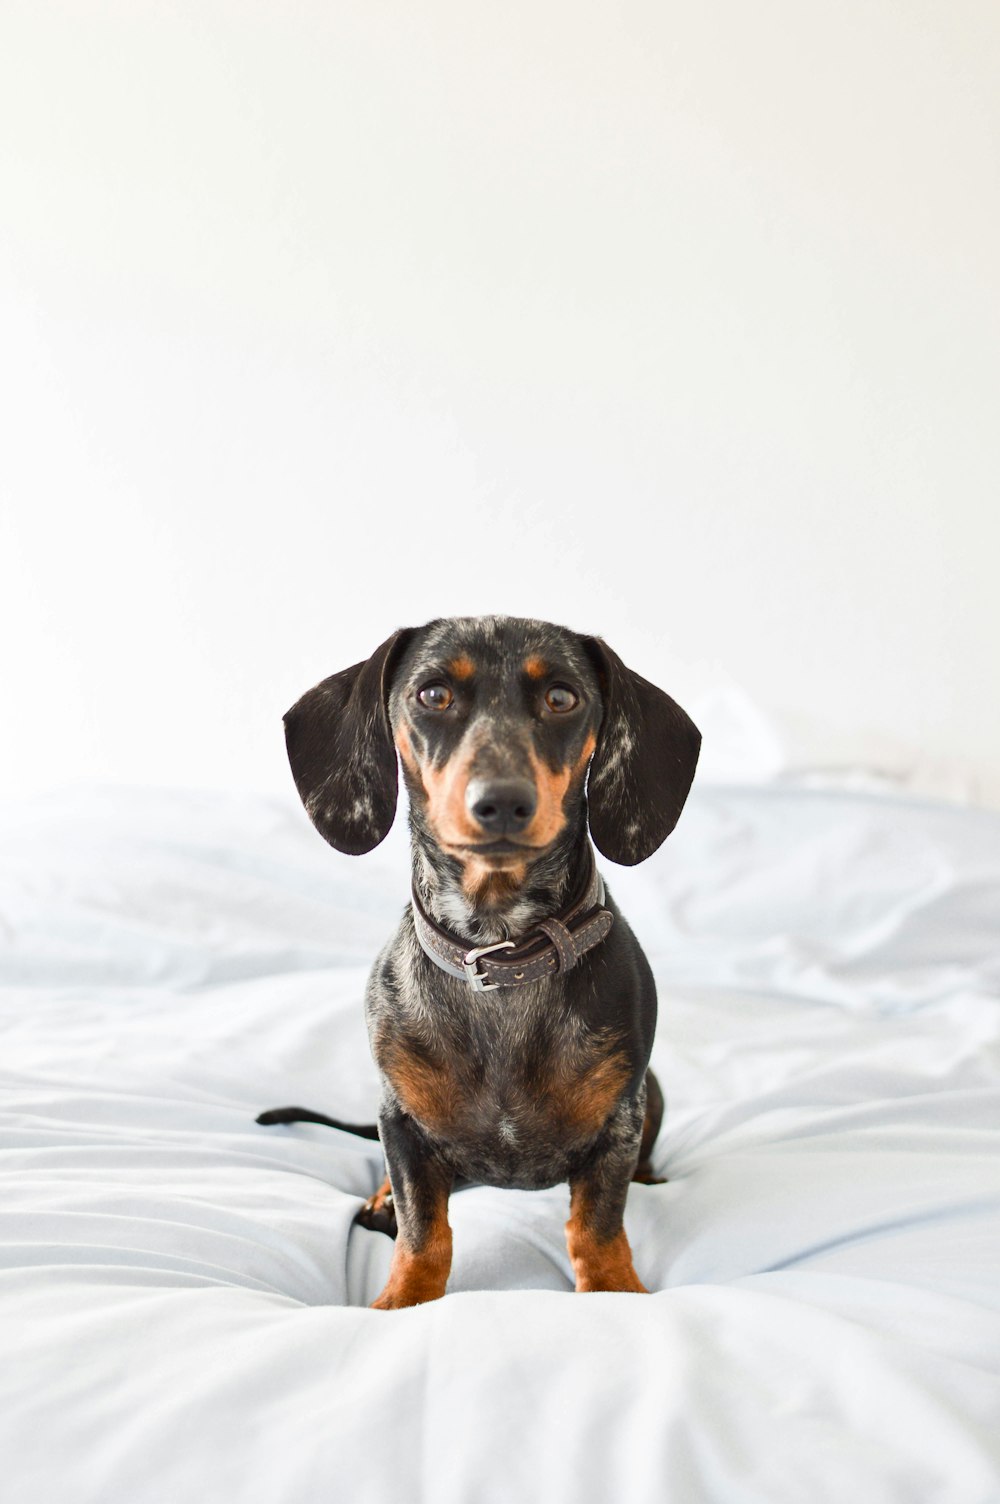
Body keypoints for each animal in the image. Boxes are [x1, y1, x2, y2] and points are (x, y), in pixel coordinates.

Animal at [254, 616, 697, 1311]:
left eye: (562, 697)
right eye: (433, 695)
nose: (502, 802)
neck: (502, 953)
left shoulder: (618, 1125)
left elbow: (597, 1225)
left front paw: (612, 1290)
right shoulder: (402, 1125)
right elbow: (423, 1231)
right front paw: (403, 1299)